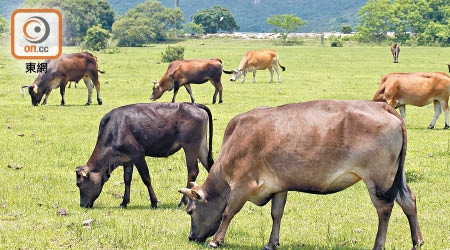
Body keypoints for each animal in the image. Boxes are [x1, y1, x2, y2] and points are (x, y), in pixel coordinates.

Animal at [75, 102, 213, 208]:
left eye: (79, 184)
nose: (82, 205)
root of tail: (194, 105)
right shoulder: (127, 160)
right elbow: (127, 179)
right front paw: (124, 202)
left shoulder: (138, 155)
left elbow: (146, 178)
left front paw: (153, 202)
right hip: (201, 146)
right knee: (211, 166)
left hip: (190, 146)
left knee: (192, 171)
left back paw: (182, 202)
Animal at [178, 100, 422, 250]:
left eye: (190, 211)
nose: (191, 237)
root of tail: (383, 106)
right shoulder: (278, 185)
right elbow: (276, 214)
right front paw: (271, 243)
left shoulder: (242, 184)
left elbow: (228, 212)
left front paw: (216, 241)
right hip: (396, 176)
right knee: (408, 201)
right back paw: (417, 241)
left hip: (379, 180)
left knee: (385, 209)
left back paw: (378, 245)